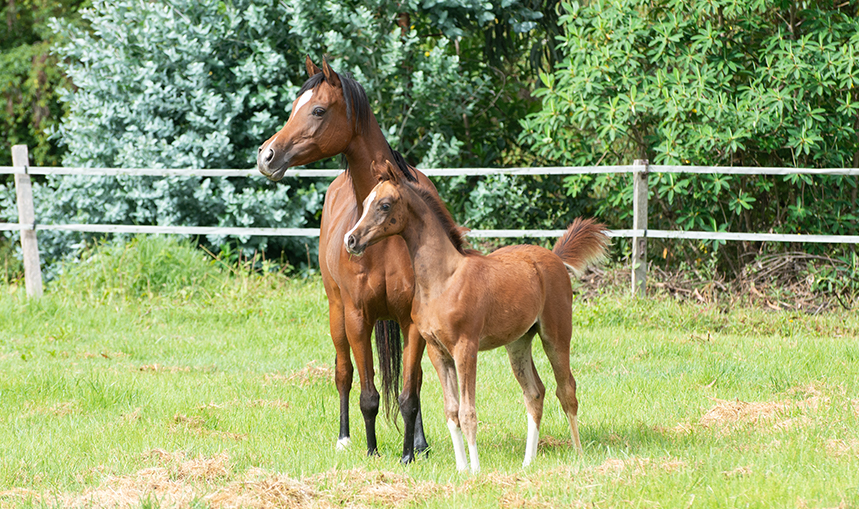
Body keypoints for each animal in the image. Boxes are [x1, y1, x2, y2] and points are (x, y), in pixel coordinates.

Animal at [344, 161, 612, 470]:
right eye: (365, 203)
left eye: (384, 205)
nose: (351, 240)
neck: (442, 280)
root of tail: (555, 257)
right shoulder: (437, 351)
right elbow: (451, 411)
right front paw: (461, 469)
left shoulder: (465, 348)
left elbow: (468, 412)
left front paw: (475, 470)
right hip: (518, 342)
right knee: (535, 393)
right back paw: (527, 462)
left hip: (555, 335)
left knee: (566, 389)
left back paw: (578, 455)